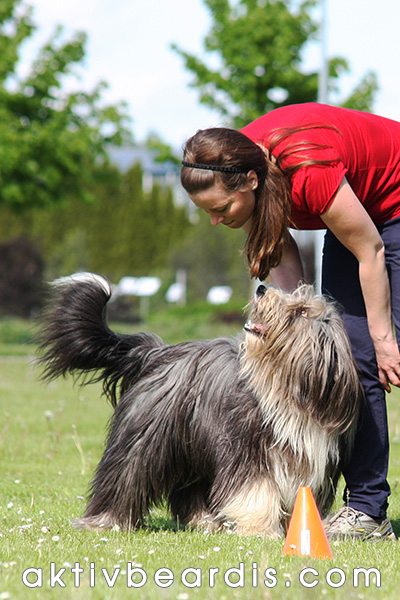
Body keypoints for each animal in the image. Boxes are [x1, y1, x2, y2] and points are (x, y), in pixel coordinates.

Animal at [37, 274, 362, 536]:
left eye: (301, 311)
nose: (261, 288)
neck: (287, 389)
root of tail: (158, 352)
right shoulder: (246, 449)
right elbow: (257, 491)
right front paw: (260, 530)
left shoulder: (311, 455)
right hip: (145, 437)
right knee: (124, 476)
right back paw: (105, 521)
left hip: (194, 441)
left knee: (189, 488)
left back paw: (204, 521)